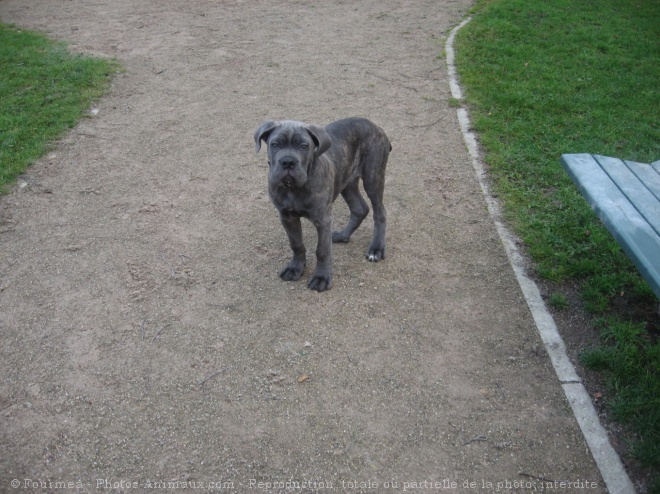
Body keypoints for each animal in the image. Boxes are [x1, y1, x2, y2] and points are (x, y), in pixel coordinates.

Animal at [254, 117, 390, 292]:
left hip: (373, 177)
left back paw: (376, 249)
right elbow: (296, 244)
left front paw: (321, 277)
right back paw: (343, 235)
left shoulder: (323, 219)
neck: (293, 188)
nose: (288, 162)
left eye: (304, 146)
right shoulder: (287, 216)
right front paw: (295, 268)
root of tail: (376, 126)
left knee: (380, 212)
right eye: (275, 144)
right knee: (360, 209)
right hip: (346, 181)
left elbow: (322, 250)